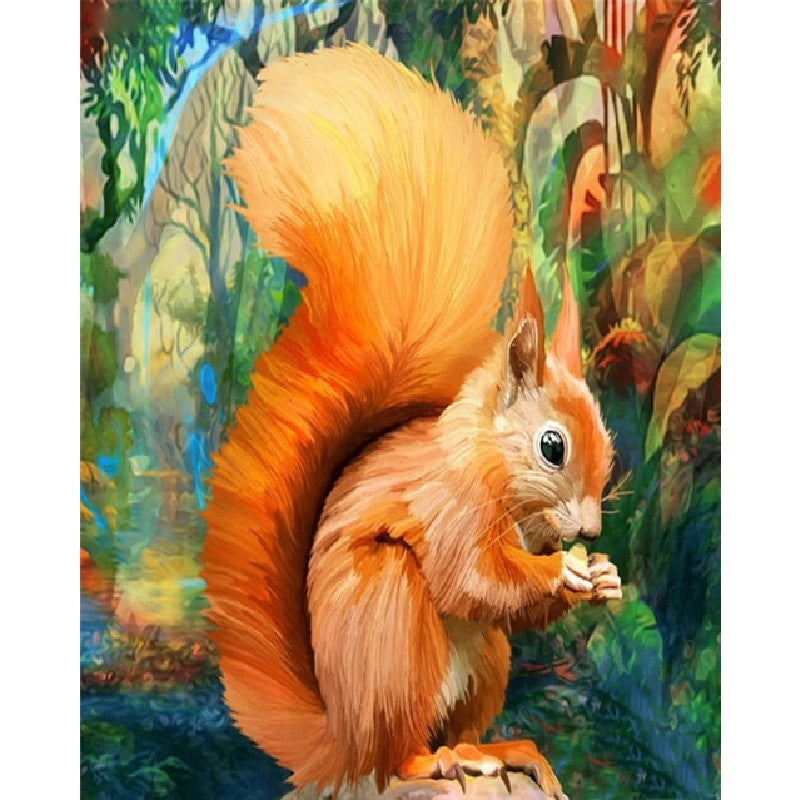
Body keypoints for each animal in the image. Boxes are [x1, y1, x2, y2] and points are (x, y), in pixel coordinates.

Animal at [202, 44, 621, 800]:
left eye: (611, 446)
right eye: (552, 446)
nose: (592, 531)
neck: (488, 461)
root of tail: (341, 742)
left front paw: (601, 576)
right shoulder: (448, 507)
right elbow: (473, 580)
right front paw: (566, 576)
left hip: (485, 659)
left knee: (461, 714)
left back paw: (499, 747)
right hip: (390, 621)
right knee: (399, 749)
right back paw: (436, 762)